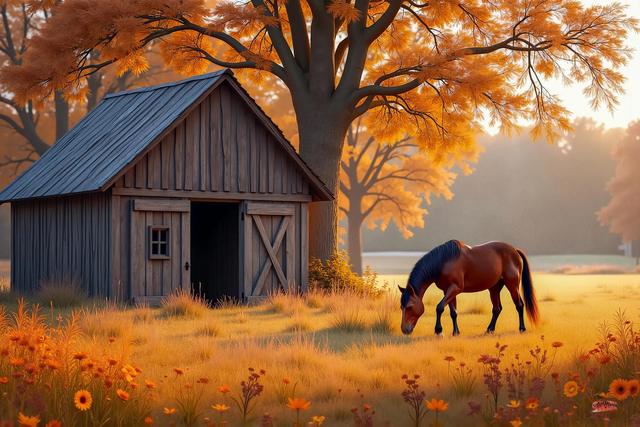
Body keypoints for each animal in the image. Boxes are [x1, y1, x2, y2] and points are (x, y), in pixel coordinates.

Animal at [398, 240, 539, 336]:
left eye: (410, 307)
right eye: (401, 307)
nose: (404, 329)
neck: (444, 262)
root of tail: (514, 250)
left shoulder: (455, 288)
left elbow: (439, 307)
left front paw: (439, 331)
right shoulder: (448, 290)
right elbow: (453, 312)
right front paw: (456, 332)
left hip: (512, 285)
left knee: (519, 305)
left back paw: (522, 328)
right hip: (494, 287)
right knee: (497, 309)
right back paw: (490, 329)